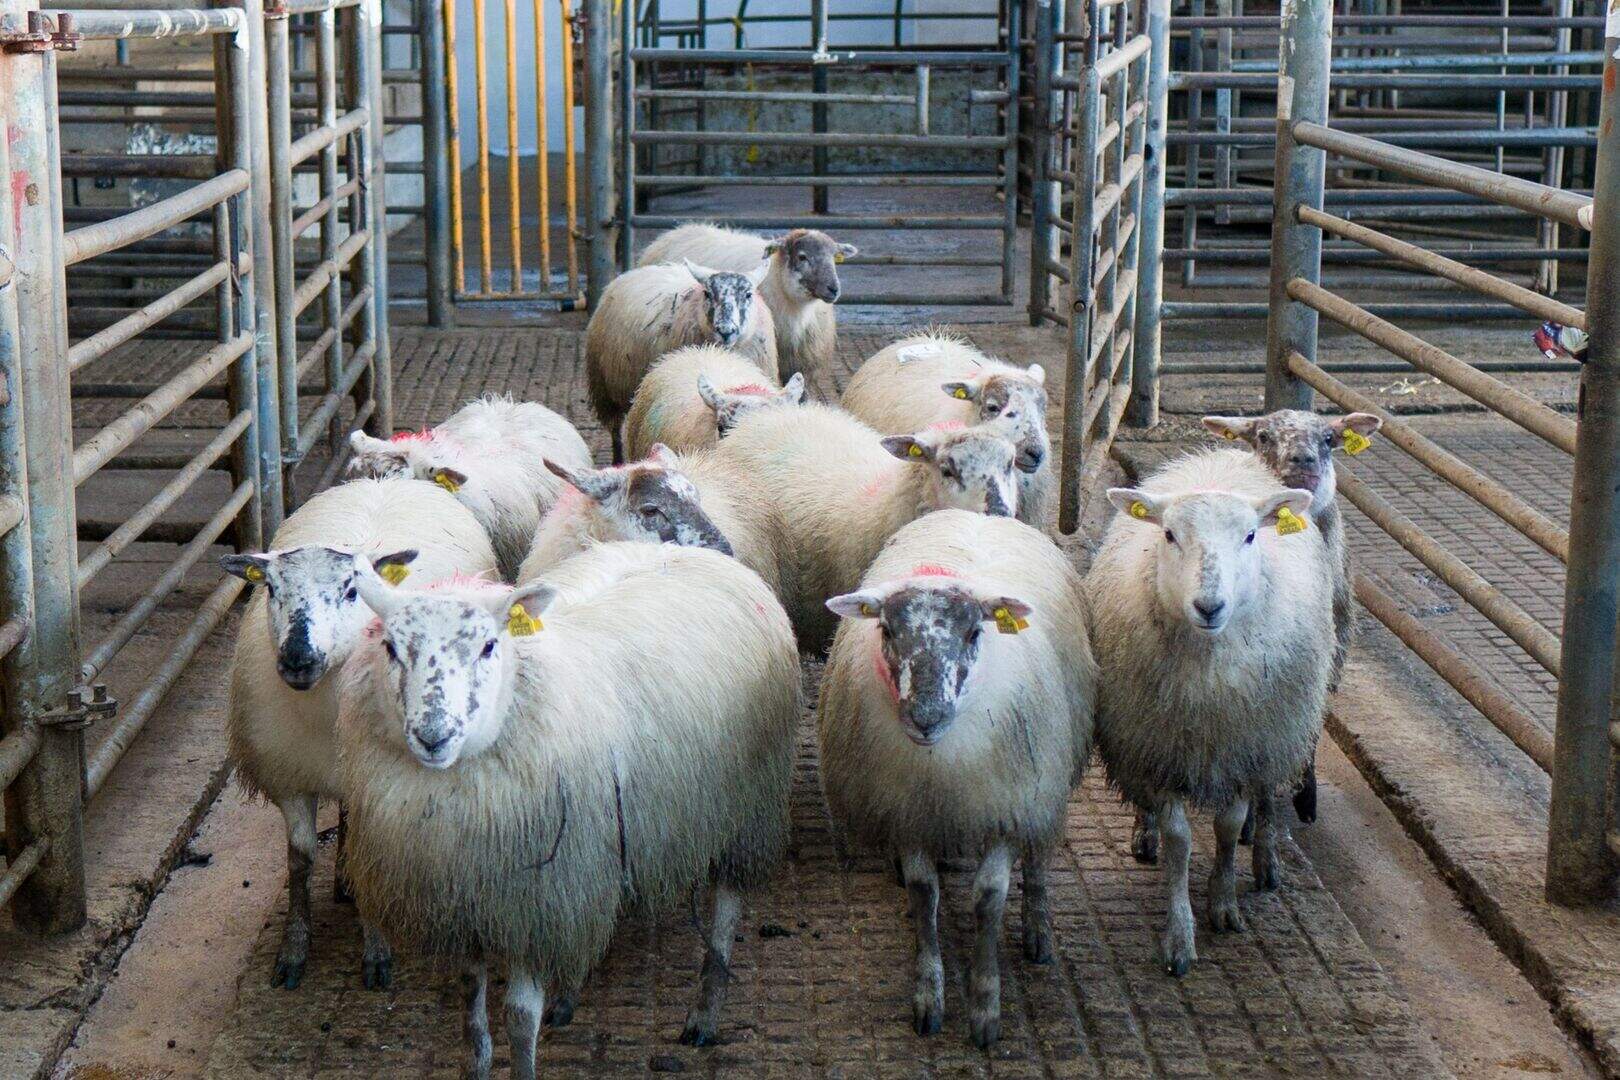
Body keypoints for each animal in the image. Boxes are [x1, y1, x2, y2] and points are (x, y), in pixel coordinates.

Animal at [219, 477, 498, 992]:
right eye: (271, 588)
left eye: (352, 591)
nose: (298, 657)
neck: (325, 706)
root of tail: (386, 480)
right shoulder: (289, 775)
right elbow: (299, 859)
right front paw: (293, 950)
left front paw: (377, 951)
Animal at [335, 541, 799, 1079]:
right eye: (391, 648)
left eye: (489, 647)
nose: (434, 736)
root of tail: (689, 550)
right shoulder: (471, 898)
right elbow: (471, 1008)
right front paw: (477, 1064)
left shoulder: (537, 900)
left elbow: (518, 1017)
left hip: (746, 806)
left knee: (726, 908)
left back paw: (704, 1014)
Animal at [586, 259, 778, 464]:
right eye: (707, 293)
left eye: (748, 294)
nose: (726, 331)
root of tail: (634, 271)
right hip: (604, 389)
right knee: (615, 430)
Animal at [817, 509, 1095, 1047]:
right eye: (886, 631)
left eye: (974, 634)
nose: (926, 718)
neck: (940, 764)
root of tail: (978, 514)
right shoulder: (907, 810)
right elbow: (924, 893)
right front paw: (929, 995)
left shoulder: (1006, 806)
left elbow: (989, 900)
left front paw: (985, 1007)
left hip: (1045, 784)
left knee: (1040, 857)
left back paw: (1038, 931)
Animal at [1085, 448, 1335, 977]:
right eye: (1169, 535)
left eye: (1251, 535)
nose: (1209, 605)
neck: (1208, 682)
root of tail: (1222, 454)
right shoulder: (1159, 748)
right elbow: (1180, 841)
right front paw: (1179, 934)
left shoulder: (1243, 749)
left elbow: (1228, 825)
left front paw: (1223, 904)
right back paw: (1145, 831)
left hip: (1276, 736)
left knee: (1263, 802)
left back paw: (1265, 858)